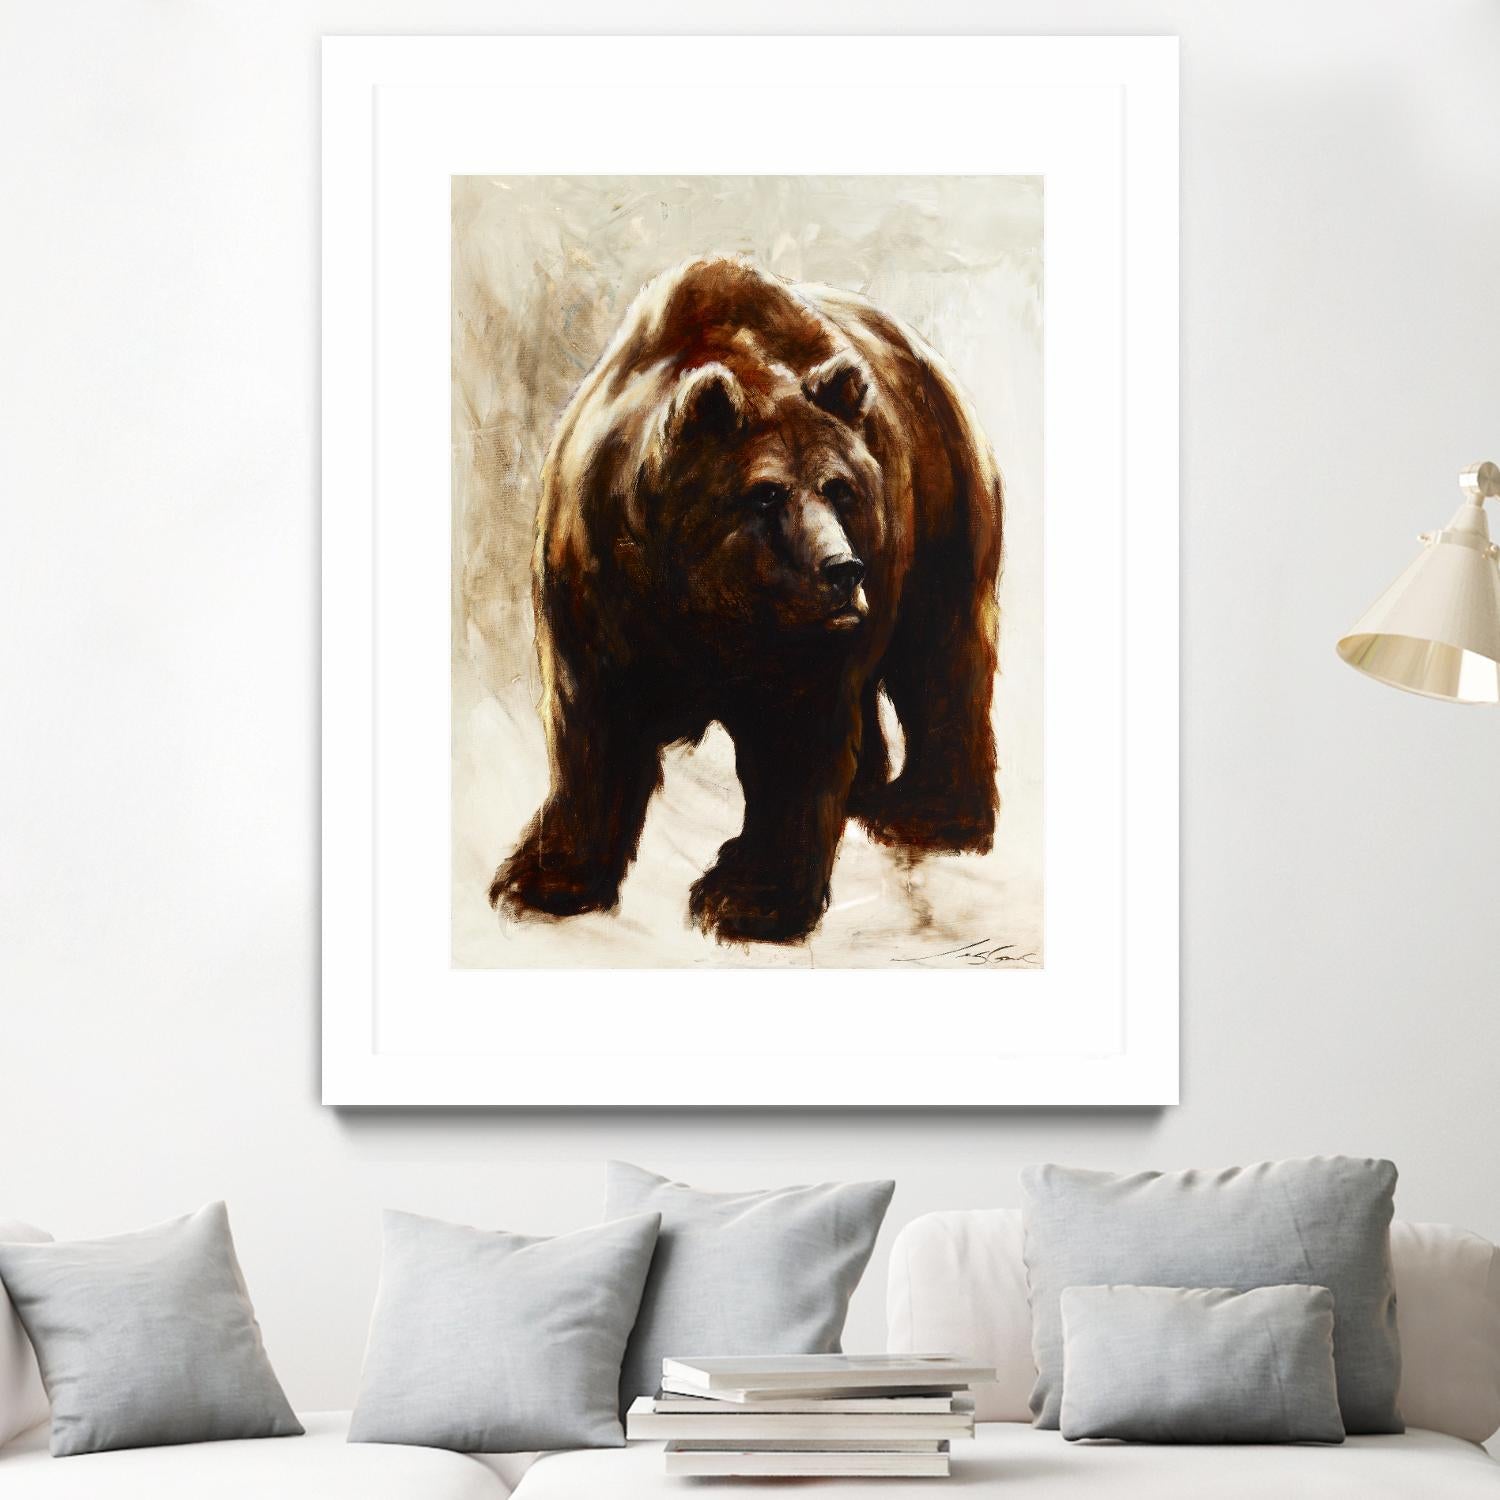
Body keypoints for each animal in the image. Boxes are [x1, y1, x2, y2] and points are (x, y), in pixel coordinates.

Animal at [490, 254, 1003, 945]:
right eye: (765, 493)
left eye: (839, 488)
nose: (842, 569)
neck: (702, 604)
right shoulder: (598, 592)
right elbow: (592, 727)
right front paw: (544, 878)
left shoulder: (799, 640)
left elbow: (796, 738)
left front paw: (747, 898)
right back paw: (868, 794)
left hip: (941, 503)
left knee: (941, 653)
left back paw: (927, 812)